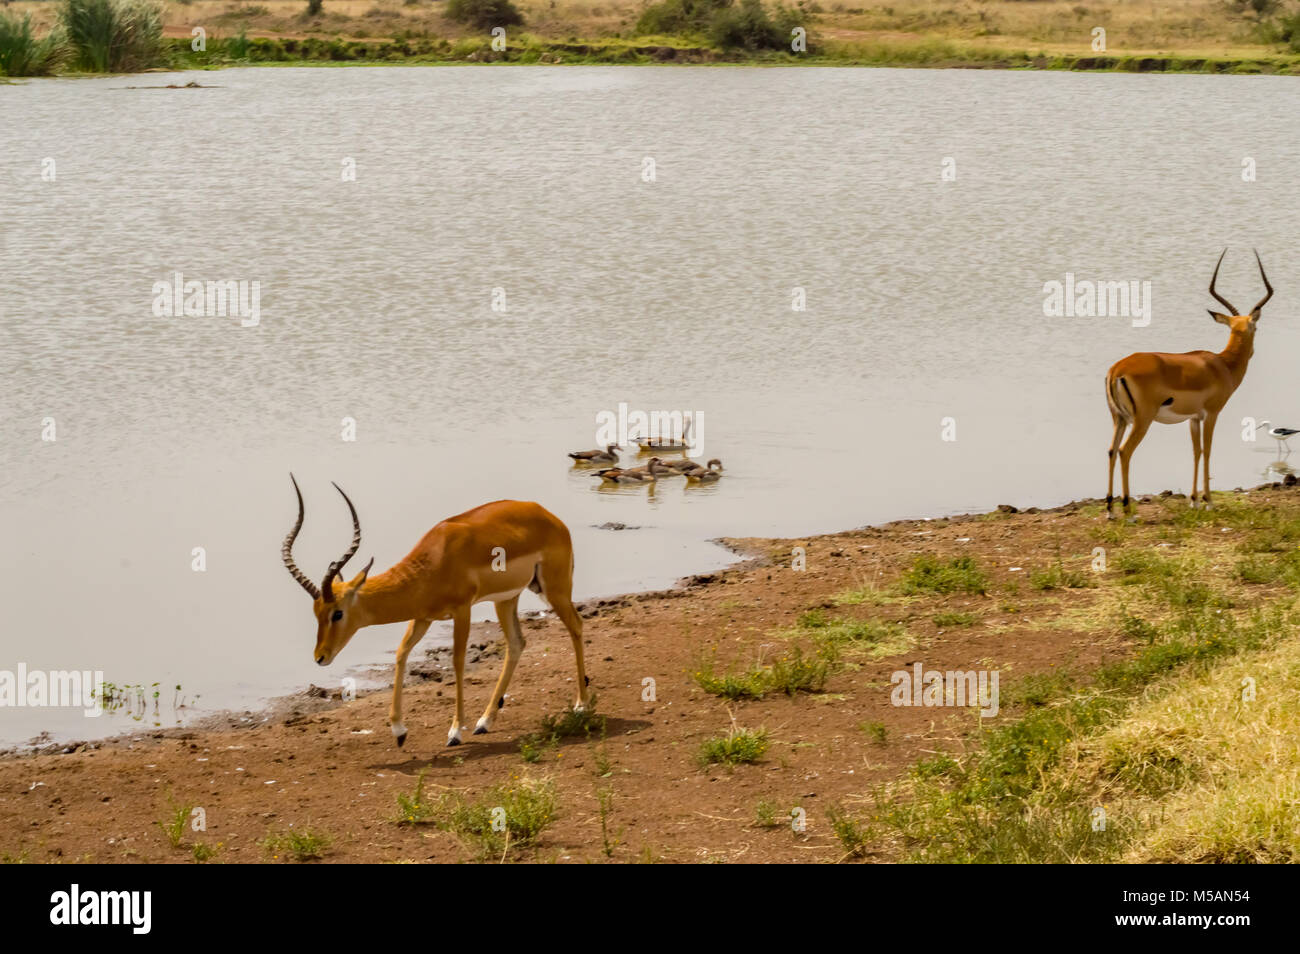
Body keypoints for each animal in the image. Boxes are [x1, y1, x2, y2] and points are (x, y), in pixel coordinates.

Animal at [281, 476, 589, 748]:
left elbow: (457, 661)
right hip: (507, 599)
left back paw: (581, 705)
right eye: (316, 613)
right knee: (516, 644)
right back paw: (484, 722)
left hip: (555, 589)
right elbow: (401, 653)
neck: (435, 559)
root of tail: (548, 515)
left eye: (337, 613)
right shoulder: (423, 617)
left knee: (576, 625)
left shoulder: (462, 610)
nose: (320, 656)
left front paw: (454, 732)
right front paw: (399, 731)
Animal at [1105, 249, 1274, 519]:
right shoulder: (1212, 413)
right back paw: (1129, 512)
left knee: (1111, 450)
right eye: (1255, 327)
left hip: (1119, 418)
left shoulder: (1193, 418)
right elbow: (1208, 450)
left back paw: (1110, 510)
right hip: (1142, 420)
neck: (1222, 365)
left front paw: (1194, 501)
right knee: (1124, 451)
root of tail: (1117, 369)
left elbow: (1196, 451)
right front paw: (1208, 501)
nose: (1253, 351)